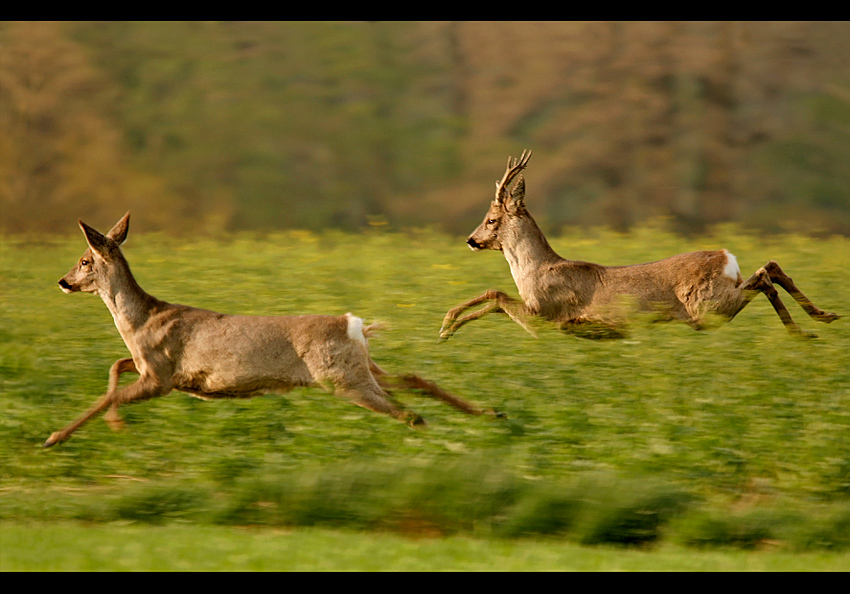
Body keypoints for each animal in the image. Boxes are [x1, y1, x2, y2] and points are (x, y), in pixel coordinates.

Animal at [44, 210, 490, 446]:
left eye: (85, 260)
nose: (63, 281)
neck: (140, 322)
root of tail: (353, 325)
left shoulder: (162, 376)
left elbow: (106, 396)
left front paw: (58, 437)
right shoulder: (149, 368)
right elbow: (115, 368)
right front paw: (114, 423)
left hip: (341, 377)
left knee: (406, 411)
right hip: (361, 368)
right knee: (414, 380)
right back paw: (490, 414)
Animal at [440, 150, 840, 340]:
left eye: (491, 220)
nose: (471, 240)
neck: (535, 270)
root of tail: (727, 256)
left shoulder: (545, 316)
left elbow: (495, 295)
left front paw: (446, 326)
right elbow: (494, 296)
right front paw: (448, 328)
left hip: (705, 307)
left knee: (763, 277)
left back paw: (804, 331)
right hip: (716, 302)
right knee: (770, 266)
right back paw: (822, 318)